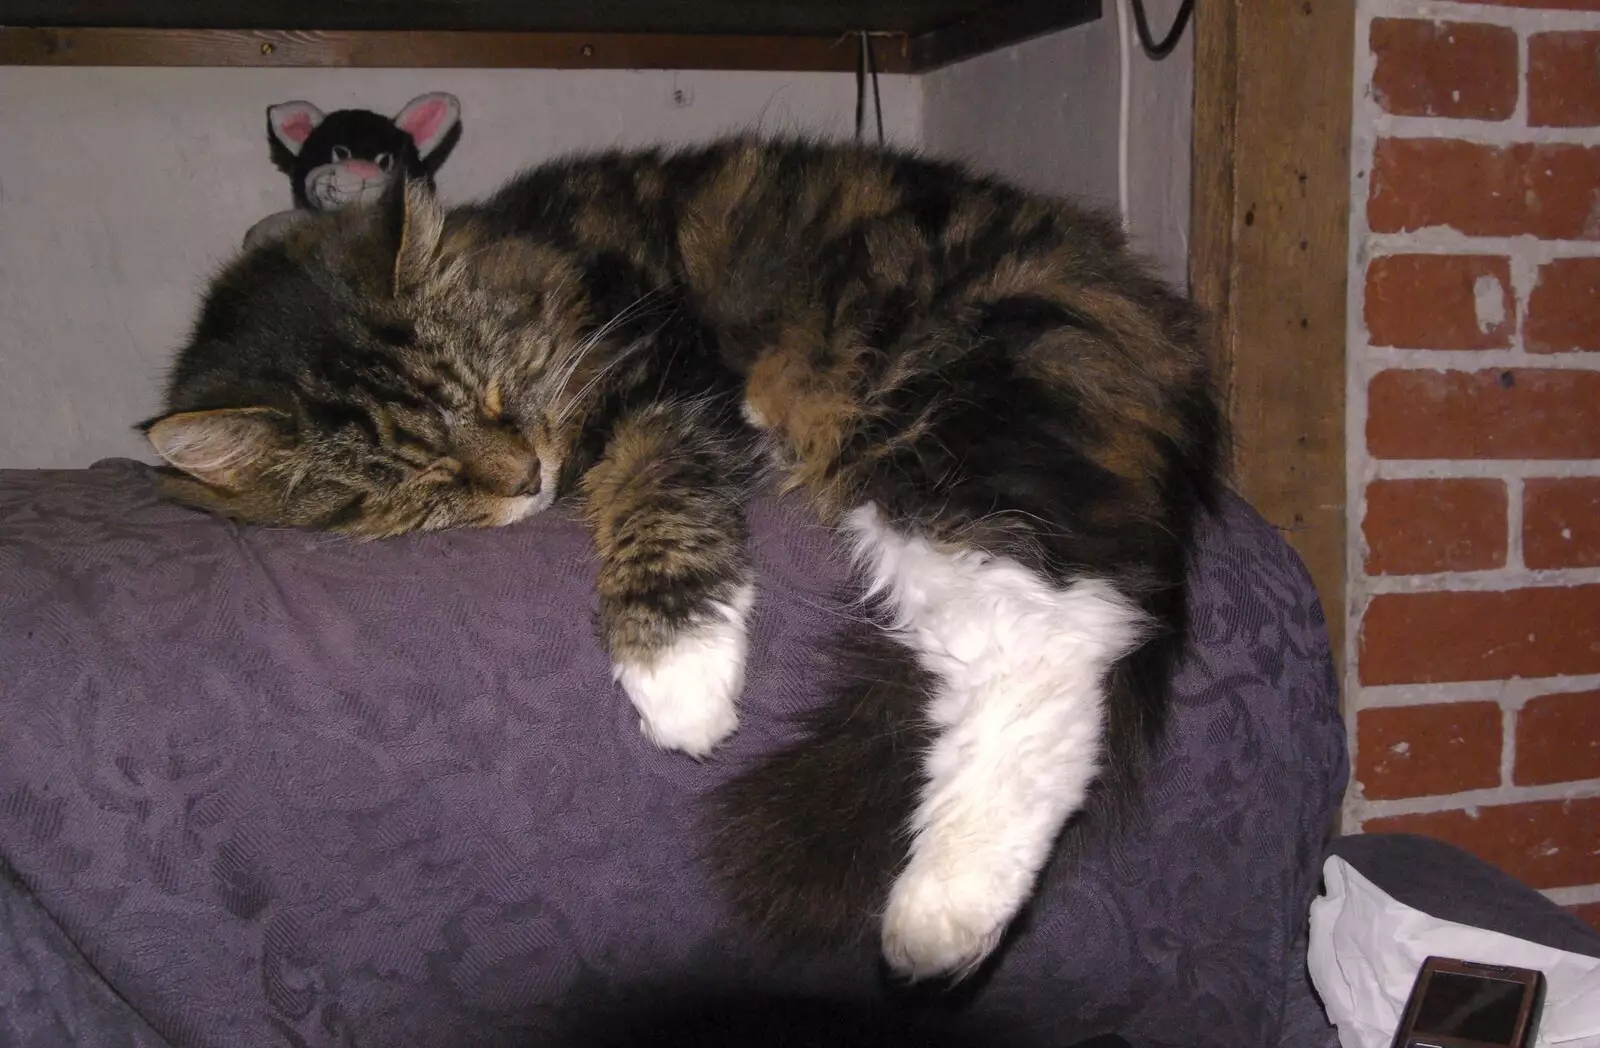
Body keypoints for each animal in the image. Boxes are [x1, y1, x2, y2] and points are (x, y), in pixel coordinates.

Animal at [144, 137, 1216, 985]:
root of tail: (1142, 307)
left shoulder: (668, 379)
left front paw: (680, 675)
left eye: (494, 391)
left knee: (1051, 643)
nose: (525, 476)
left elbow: (653, 493)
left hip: (931, 428)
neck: (547, 257)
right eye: (423, 476)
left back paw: (940, 914)